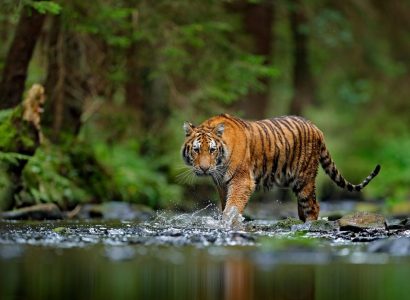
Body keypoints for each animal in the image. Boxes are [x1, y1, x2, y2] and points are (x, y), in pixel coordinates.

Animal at [181, 113, 380, 221]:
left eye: (212, 150)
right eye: (196, 150)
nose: (204, 169)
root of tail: (316, 128)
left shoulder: (242, 181)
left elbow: (232, 207)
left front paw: (228, 223)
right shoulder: (222, 184)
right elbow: (225, 206)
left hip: (304, 180)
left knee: (313, 206)